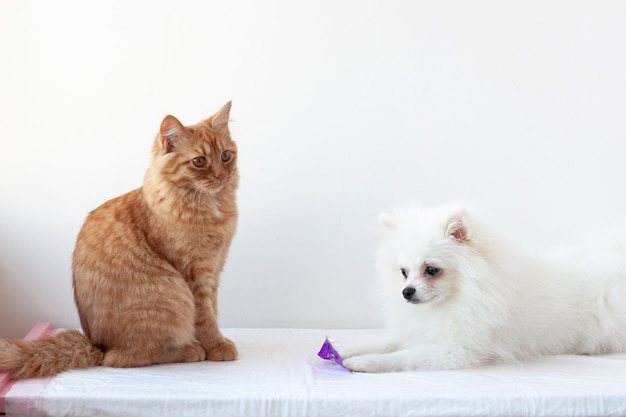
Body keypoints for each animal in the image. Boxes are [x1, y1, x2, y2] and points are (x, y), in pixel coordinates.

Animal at [0, 101, 238, 376]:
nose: (221, 176)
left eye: (225, 156)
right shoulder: (195, 276)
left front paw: (218, 341)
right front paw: (216, 346)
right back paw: (190, 350)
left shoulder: (214, 272)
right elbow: (205, 318)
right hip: (170, 297)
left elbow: (214, 312)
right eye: (199, 161)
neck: (212, 208)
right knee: (124, 358)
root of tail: (96, 345)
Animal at [336, 203, 624, 372]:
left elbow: (403, 356)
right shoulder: (421, 332)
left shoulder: (457, 350)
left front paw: (363, 362)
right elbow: (386, 342)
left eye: (432, 270)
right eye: (404, 272)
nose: (406, 292)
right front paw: (346, 350)